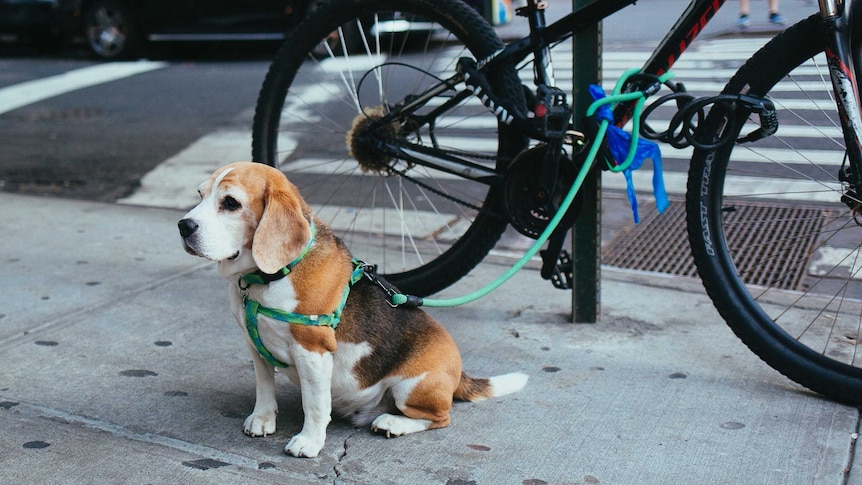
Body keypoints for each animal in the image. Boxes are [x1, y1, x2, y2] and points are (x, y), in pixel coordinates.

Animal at [180, 161, 528, 456]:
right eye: (200, 195)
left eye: (231, 203)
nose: (184, 226)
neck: (268, 277)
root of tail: (458, 372)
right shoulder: (255, 345)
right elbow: (265, 387)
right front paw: (263, 419)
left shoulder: (313, 351)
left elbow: (315, 404)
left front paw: (309, 442)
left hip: (412, 387)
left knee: (441, 417)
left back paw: (393, 423)